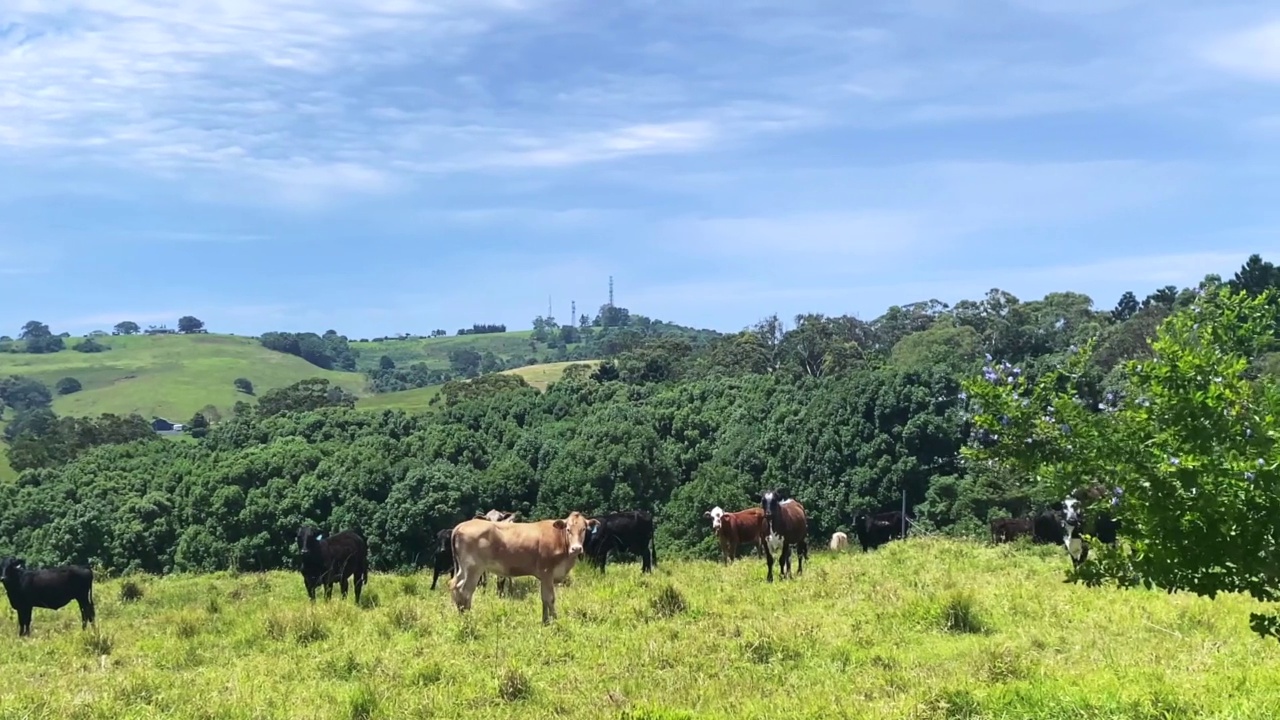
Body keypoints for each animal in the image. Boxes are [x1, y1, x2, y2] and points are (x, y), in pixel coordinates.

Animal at [450, 507, 599, 620]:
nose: (576, 548)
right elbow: (550, 598)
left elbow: (544, 599)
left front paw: (545, 621)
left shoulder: (544, 576)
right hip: (474, 568)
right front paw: (556, 621)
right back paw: (468, 619)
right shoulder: (547, 572)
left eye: (583, 529)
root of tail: (461, 525)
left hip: (463, 568)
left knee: (455, 586)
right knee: (465, 591)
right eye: (568, 529)